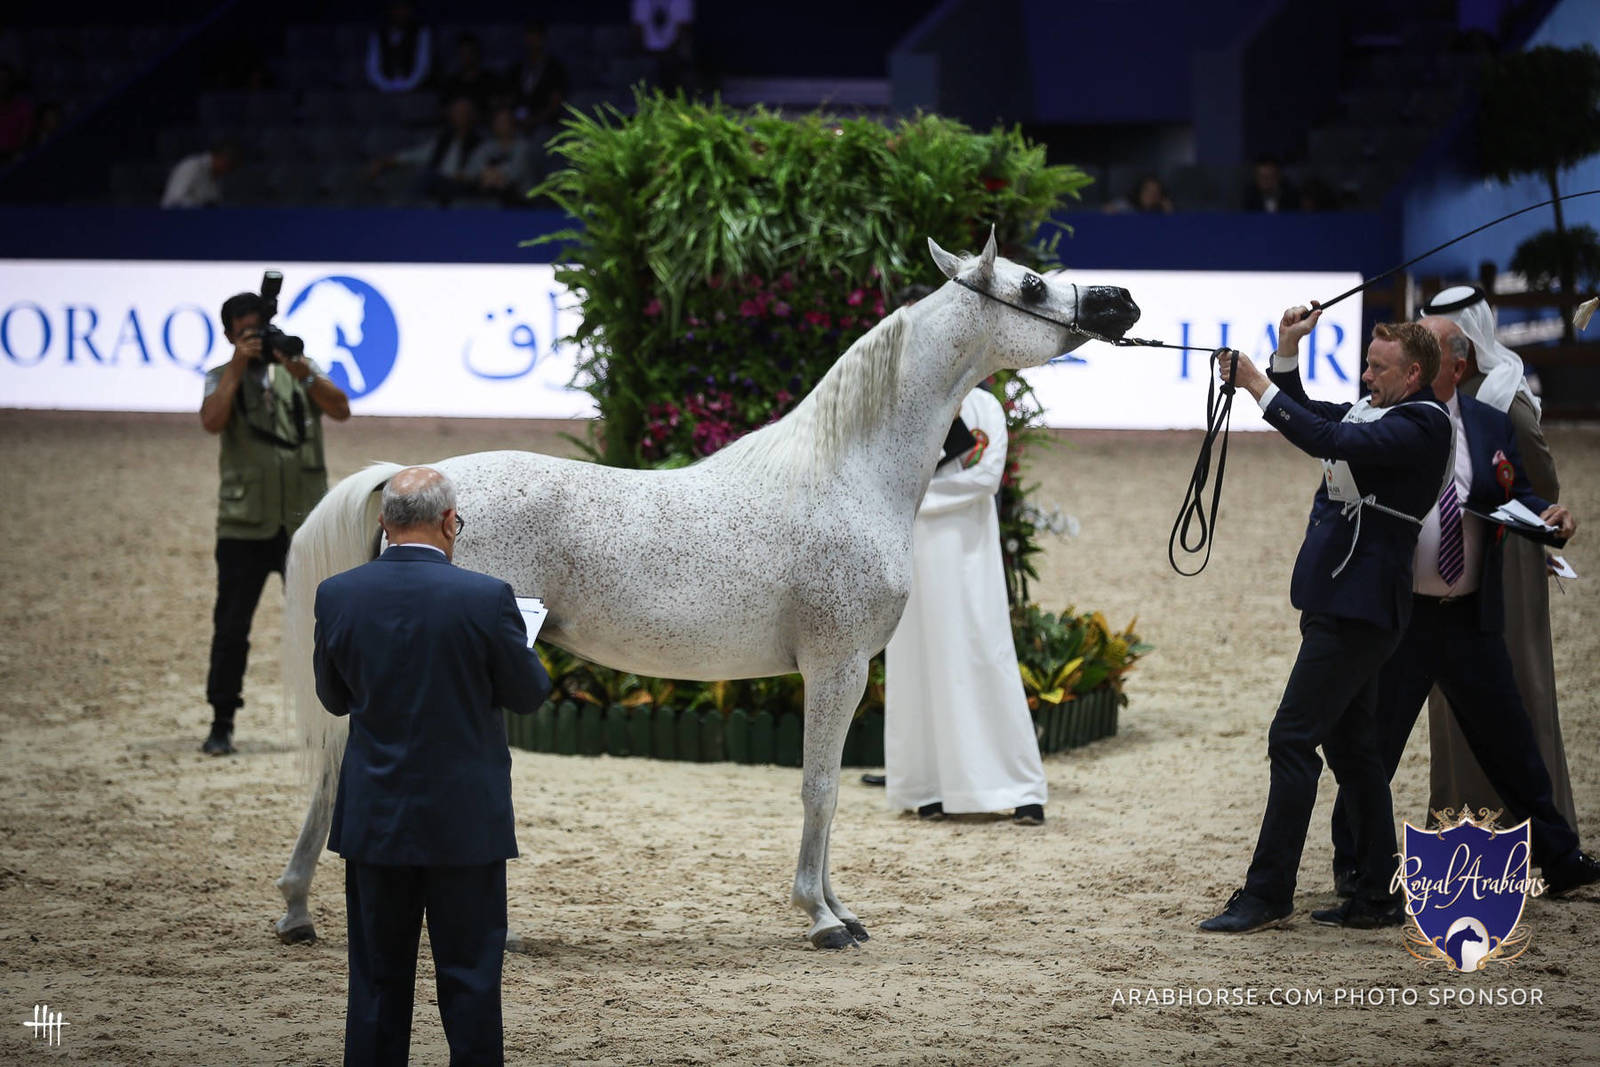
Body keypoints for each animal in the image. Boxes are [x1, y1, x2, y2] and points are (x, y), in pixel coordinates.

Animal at [275, 231, 1140, 950]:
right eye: (1032, 285)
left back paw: (298, 912)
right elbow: (820, 789)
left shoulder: (843, 670)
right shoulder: (836, 668)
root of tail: (416, 480)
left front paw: (841, 908)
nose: (1122, 302)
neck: (847, 474)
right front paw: (821, 917)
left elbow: (825, 792)